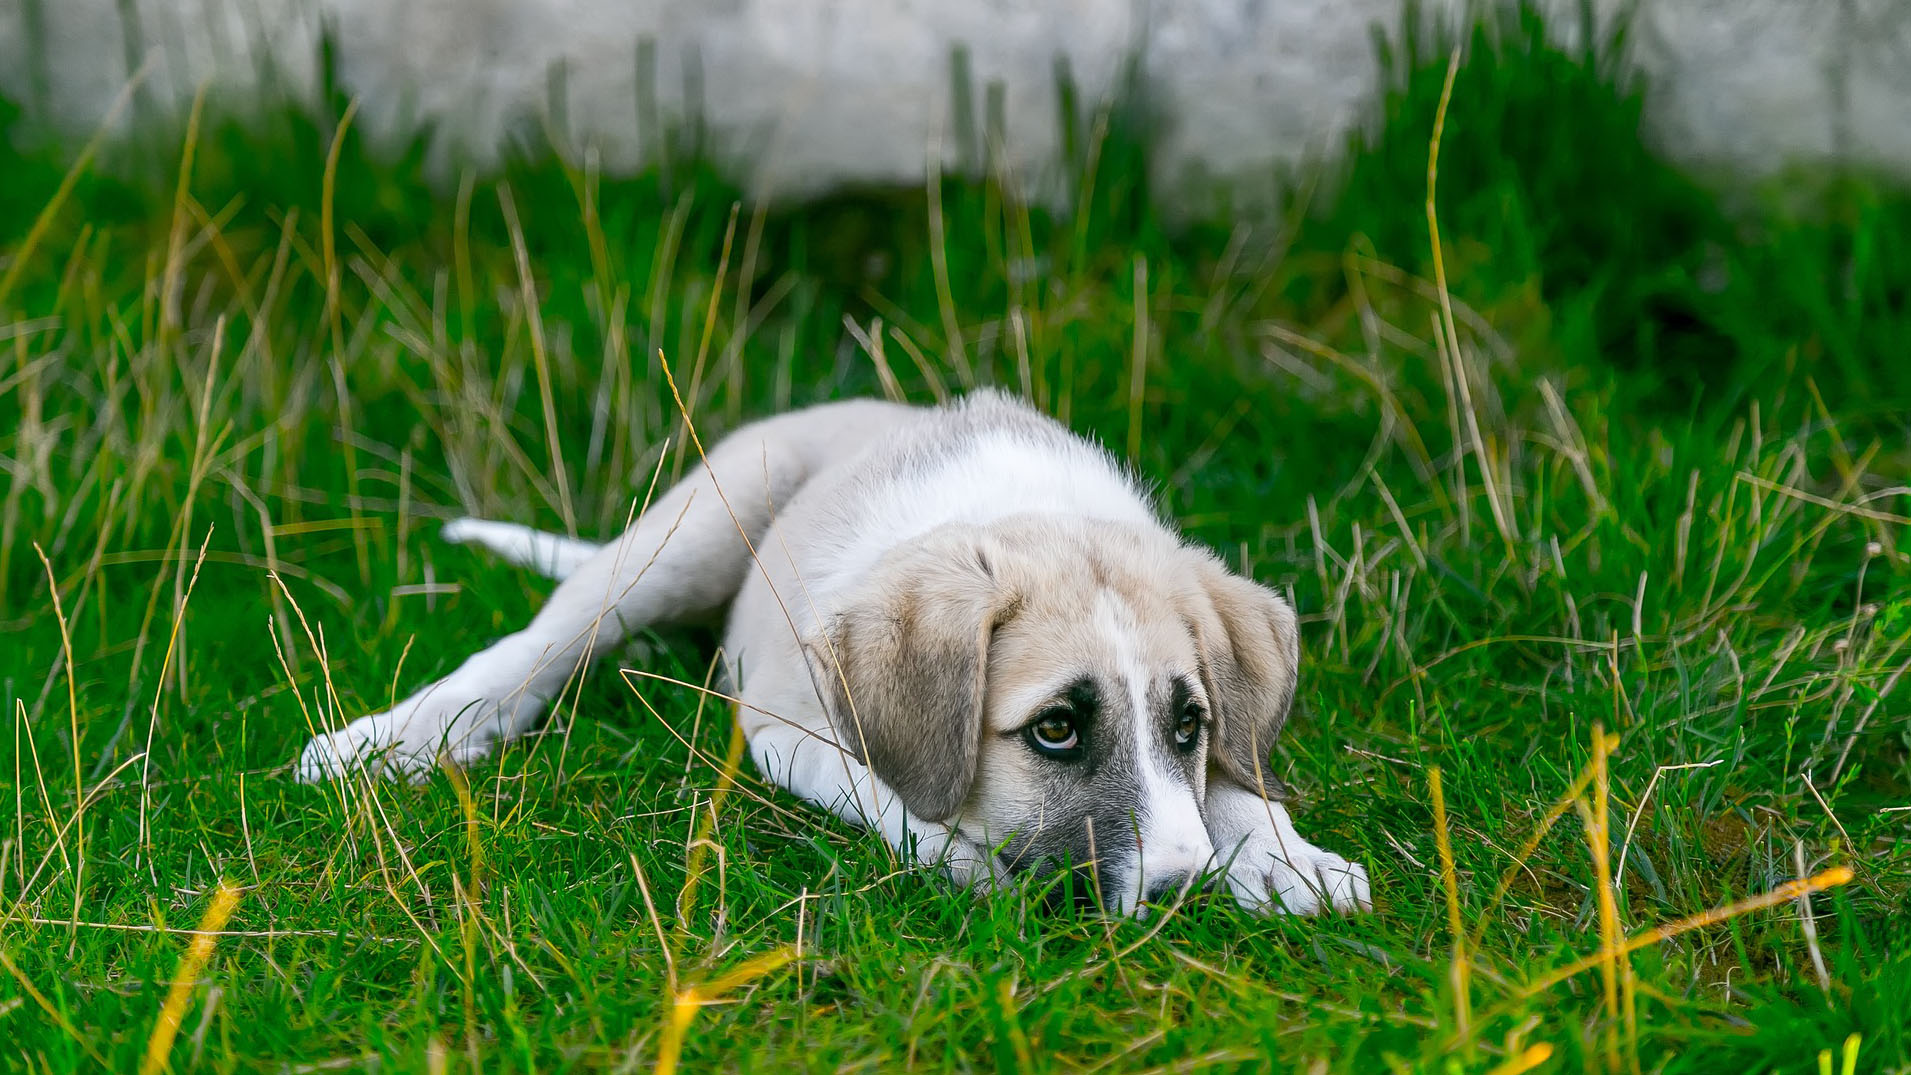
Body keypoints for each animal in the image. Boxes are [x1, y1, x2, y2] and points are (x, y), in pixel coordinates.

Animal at [294, 391, 1375, 912]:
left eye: (1189, 724)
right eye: (1056, 730)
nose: (1182, 892)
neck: (1020, 509)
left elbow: (1234, 782)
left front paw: (1287, 857)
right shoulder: (783, 728)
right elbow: (891, 794)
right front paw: (962, 855)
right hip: (694, 524)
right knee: (542, 641)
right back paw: (398, 737)